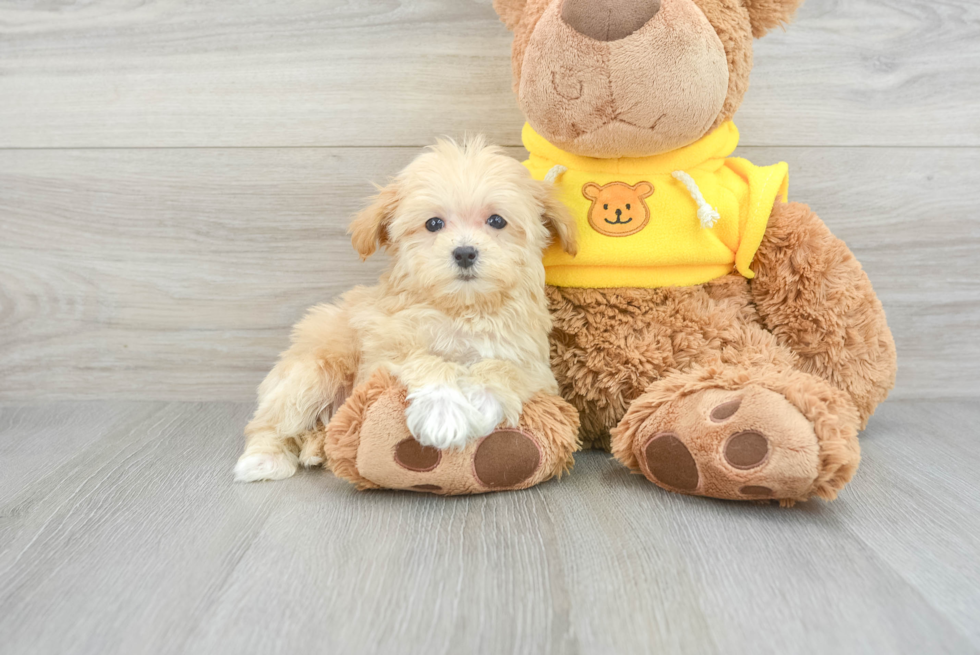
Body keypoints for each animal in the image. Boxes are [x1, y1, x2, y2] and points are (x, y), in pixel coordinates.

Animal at [234, 136, 580, 482]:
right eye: (433, 224)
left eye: (496, 221)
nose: (464, 252)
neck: (461, 309)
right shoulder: (382, 351)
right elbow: (425, 362)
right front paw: (444, 415)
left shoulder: (535, 366)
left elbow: (504, 368)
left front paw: (479, 401)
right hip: (312, 373)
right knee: (269, 422)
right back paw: (265, 457)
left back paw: (318, 448)